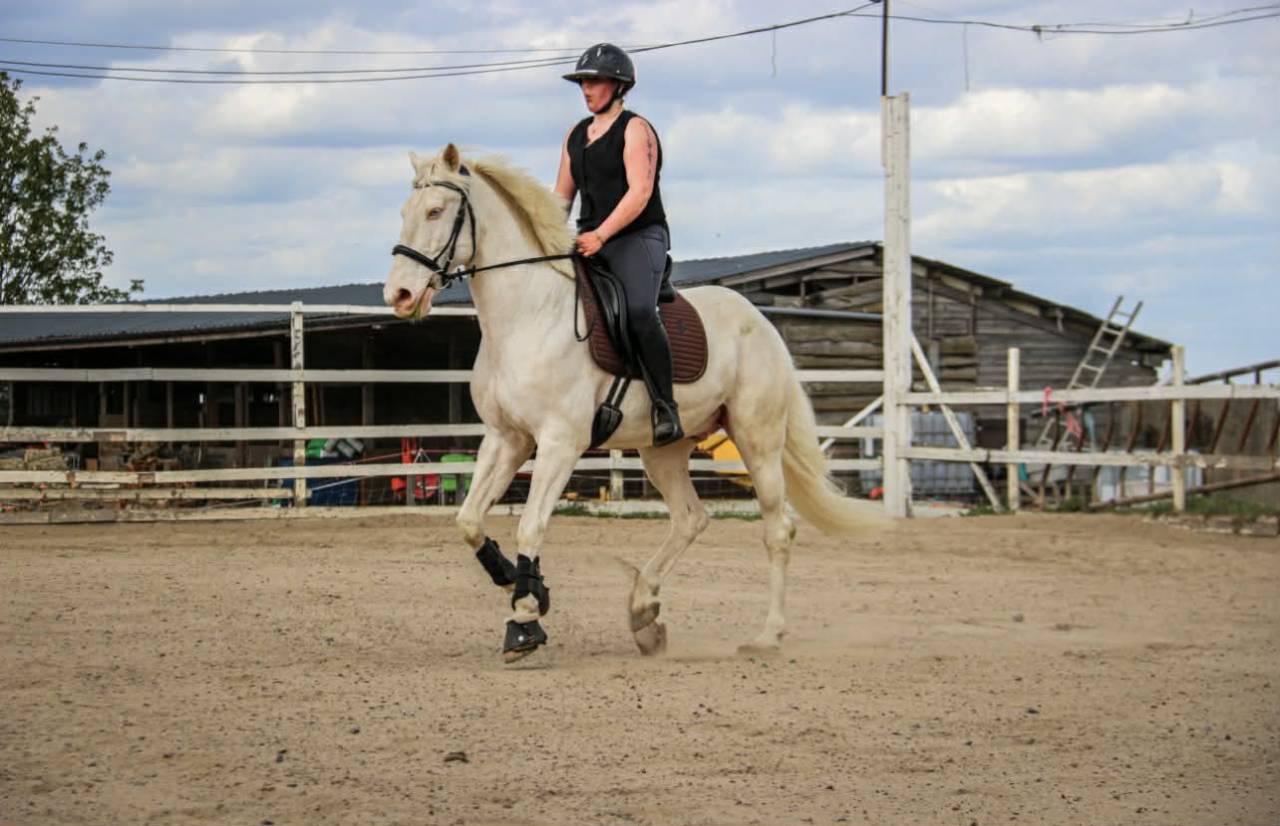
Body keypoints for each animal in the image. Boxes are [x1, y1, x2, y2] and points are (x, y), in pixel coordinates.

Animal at [384, 143, 887, 662]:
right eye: (404, 212)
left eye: (436, 211)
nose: (398, 295)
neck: (529, 315)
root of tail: (762, 322)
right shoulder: (507, 439)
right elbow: (468, 519)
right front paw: (520, 584)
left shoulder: (559, 443)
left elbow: (530, 525)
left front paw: (524, 622)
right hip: (663, 450)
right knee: (690, 519)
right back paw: (643, 612)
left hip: (757, 441)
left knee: (777, 529)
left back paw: (767, 635)